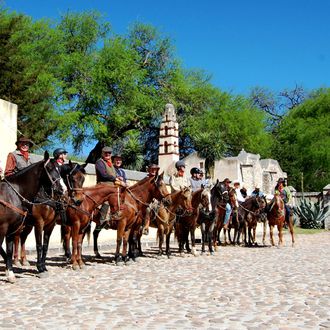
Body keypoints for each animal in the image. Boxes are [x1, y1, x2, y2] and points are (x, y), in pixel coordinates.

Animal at [0, 153, 62, 282]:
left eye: (60, 169)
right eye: (49, 168)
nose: (61, 189)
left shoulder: (50, 225)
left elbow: (45, 246)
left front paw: (43, 267)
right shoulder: (38, 223)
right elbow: (39, 245)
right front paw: (40, 268)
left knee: (21, 239)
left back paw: (22, 261)